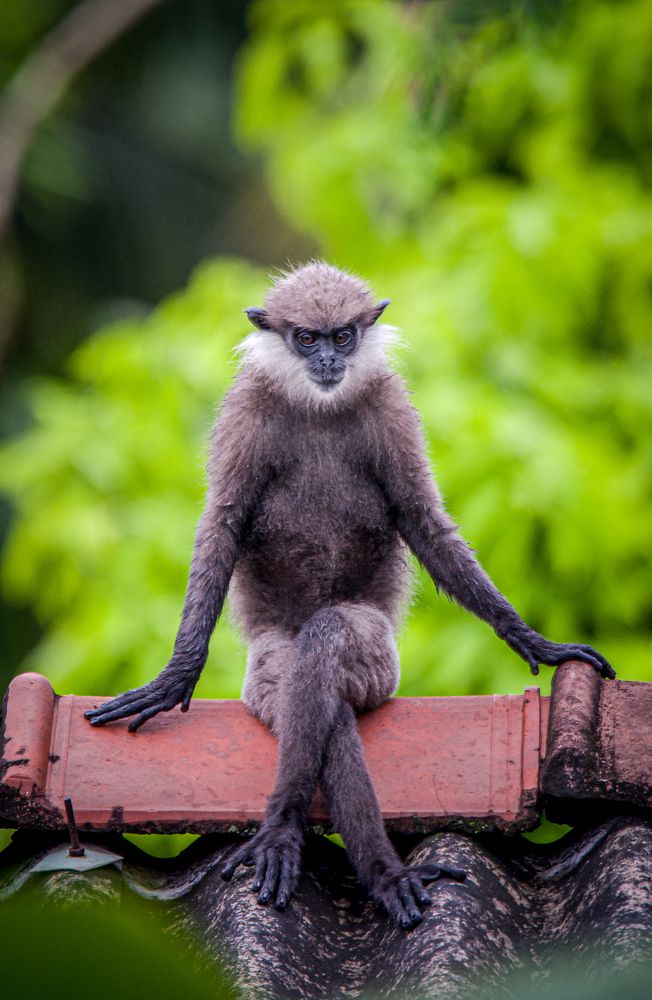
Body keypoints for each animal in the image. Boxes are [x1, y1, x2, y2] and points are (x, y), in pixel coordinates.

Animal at [85, 261, 614, 930]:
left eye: (343, 335)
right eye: (307, 338)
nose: (330, 358)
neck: (319, 406)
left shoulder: (390, 405)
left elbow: (421, 517)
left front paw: (535, 642)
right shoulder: (246, 408)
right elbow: (223, 523)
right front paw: (178, 674)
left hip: (379, 663)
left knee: (332, 640)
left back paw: (374, 869)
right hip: (268, 663)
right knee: (311, 697)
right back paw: (292, 833)